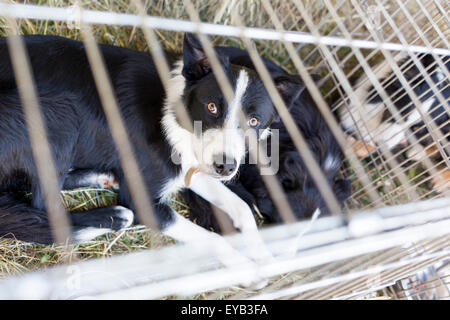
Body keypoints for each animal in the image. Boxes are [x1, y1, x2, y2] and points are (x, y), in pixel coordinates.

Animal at [0, 32, 304, 262]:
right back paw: (113, 216)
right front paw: (245, 269)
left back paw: (100, 177)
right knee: (45, 206)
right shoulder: (142, 200)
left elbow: (241, 207)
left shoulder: (189, 167)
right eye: (212, 107)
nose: (225, 166)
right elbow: (214, 239)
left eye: (254, 120)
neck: (171, 112)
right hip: (58, 113)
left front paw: (262, 256)